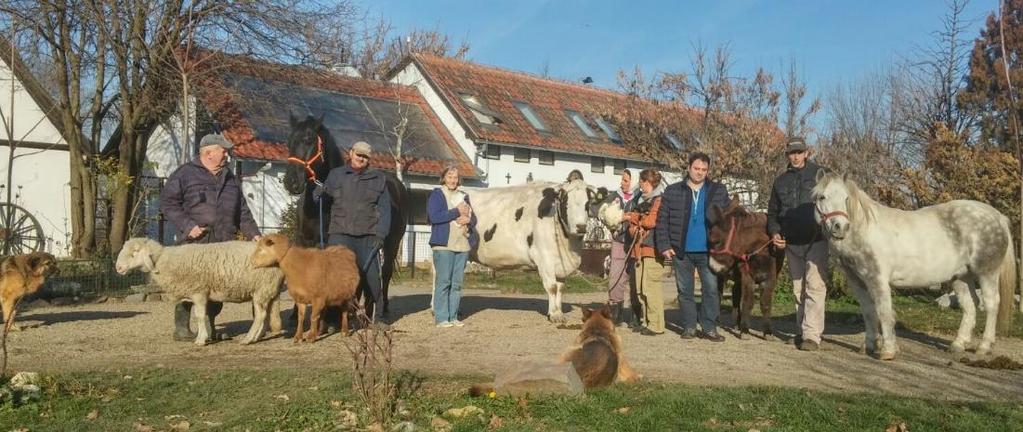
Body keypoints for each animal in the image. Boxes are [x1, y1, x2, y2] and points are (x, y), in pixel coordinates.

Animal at [116, 237, 284, 346]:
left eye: (134, 253)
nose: (118, 268)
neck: (164, 260)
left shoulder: (199, 292)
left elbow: (200, 316)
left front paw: (200, 340)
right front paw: (205, 336)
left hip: (261, 289)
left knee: (260, 316)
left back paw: (248, 339)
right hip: (268, 290)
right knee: (266, 315)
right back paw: (257, 337)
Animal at [282, 115, 409, 317]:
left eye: (309, 140)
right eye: (289, 142)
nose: (291, 182)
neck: (320, 203)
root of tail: (397, 184)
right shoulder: (302, 239)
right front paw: (295, 314)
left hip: (392, 243)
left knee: (385, 272)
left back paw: (382, 308)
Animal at [810, 169, 1018, 360]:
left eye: (846, 198)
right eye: (822, 197)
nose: (840, 227)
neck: (863, 231)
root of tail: (997, 216)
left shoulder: (877, 279)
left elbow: (884, 312)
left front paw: (888, 351)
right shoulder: (857, 281)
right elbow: (869, 312)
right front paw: (868, 346)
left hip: (987, 273)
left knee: (991, 304)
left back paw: (984, 347)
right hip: (961, 277)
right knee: (970, 305)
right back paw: (958, 344)